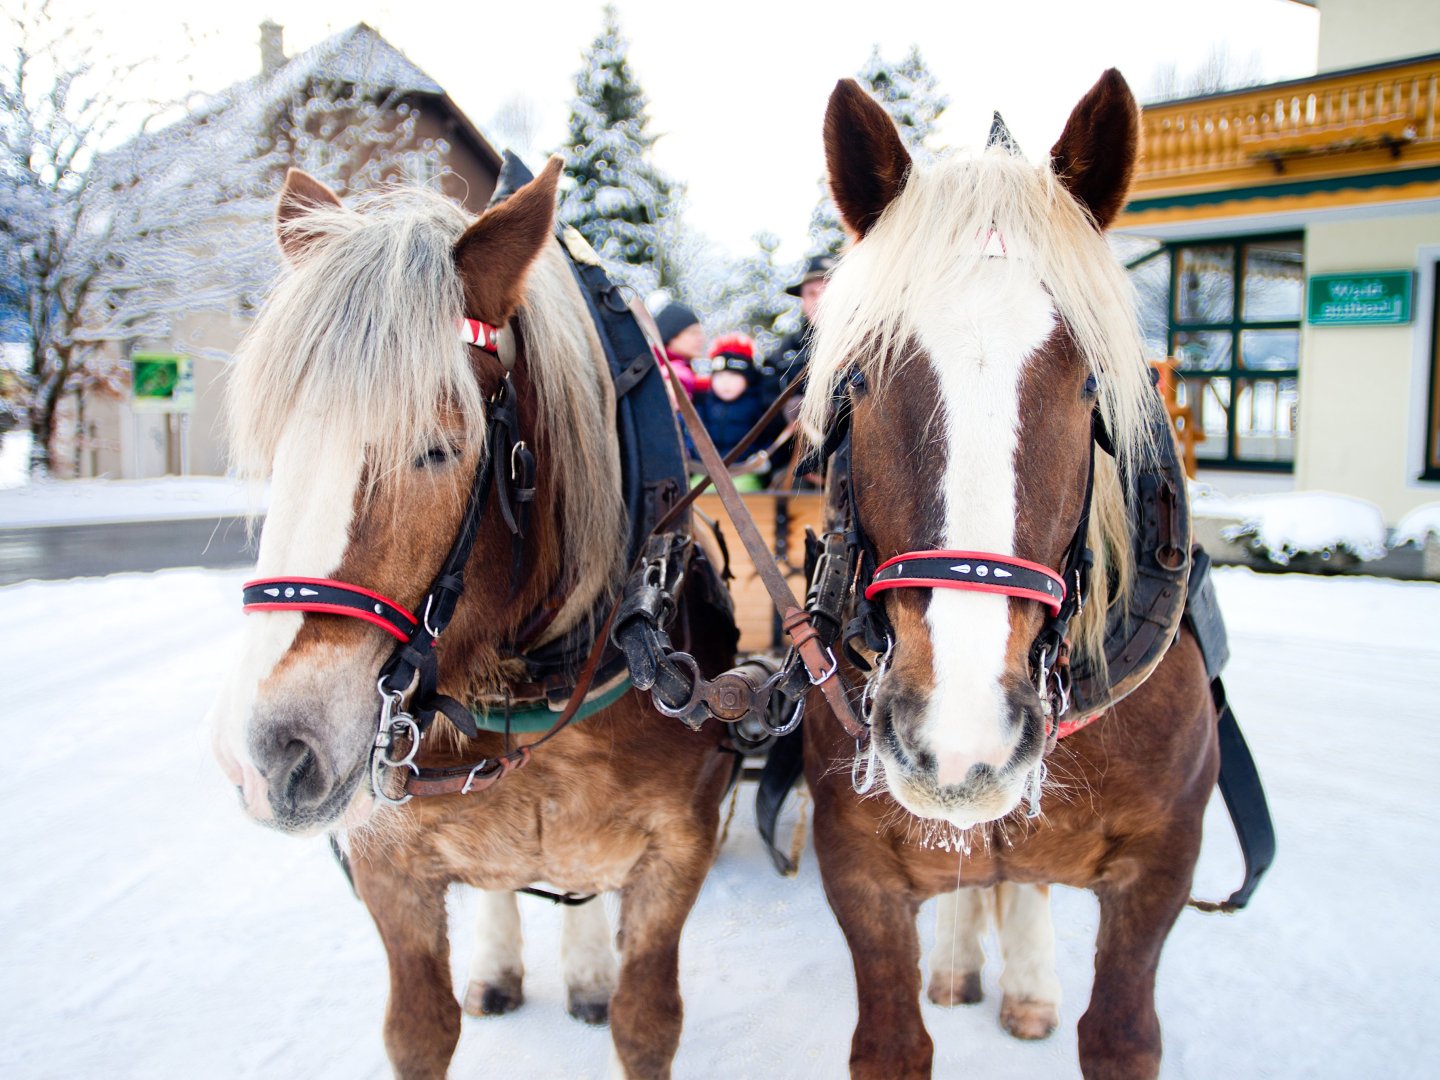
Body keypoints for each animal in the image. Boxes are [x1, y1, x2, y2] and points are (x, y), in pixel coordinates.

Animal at [208, 160, 737, 1080]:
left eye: (438, 447)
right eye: (279, 448)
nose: (266, 754)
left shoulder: (678, 853)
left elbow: (646, 1024)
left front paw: (603, 983)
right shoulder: (386, 864)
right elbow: (420, 1030)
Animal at [806, 72, 1221, 1077]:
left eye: (1090, 385)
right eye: (859, 380)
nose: (962, 736)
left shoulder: (1163, 867)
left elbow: (1121, 1036)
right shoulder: (856, 867)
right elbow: (890, 1042)